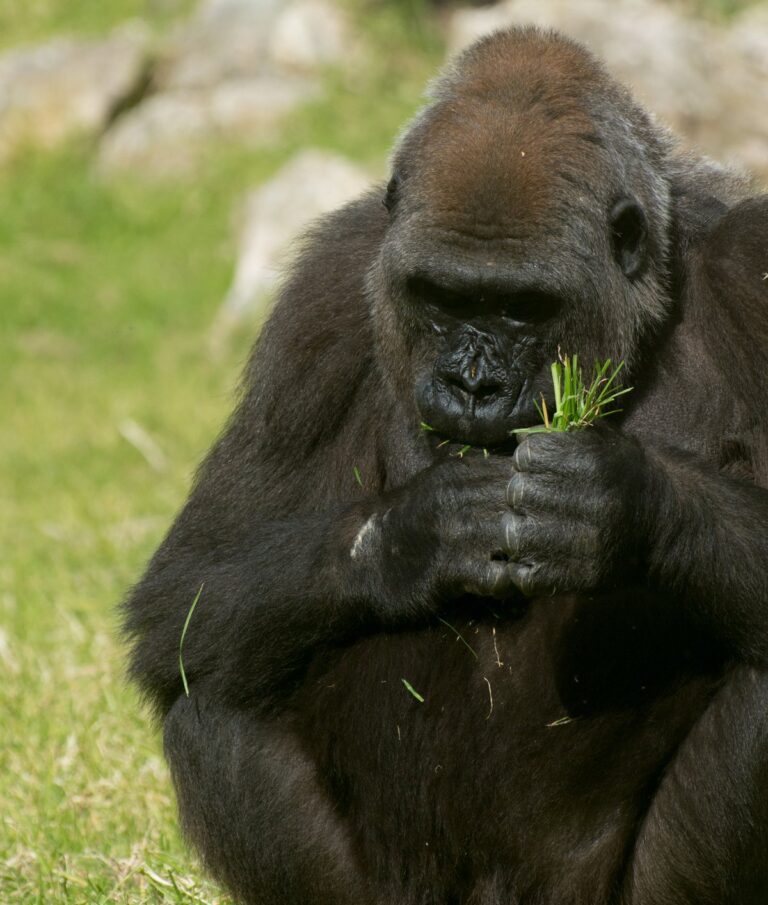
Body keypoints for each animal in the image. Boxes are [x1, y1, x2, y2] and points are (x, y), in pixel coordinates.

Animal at [123, 24, 768, 904]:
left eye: (522, 307)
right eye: (442, 297)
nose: (472, 383)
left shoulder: (753, 273)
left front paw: (622, 505)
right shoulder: (320, 303)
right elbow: (185, 596)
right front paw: (413, 539)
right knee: (214, 687)